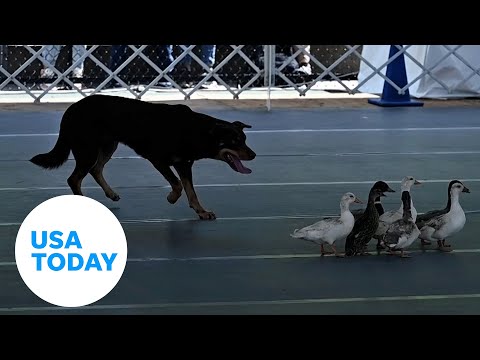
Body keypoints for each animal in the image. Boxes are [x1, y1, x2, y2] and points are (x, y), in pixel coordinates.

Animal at [30, 94, 256, 219]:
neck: (193, 130)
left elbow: (191, 191)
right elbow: (177, 185)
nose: (253, 154)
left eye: (244, 139)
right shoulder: (158, 160)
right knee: (74, 178)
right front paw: (172, 198)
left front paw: (201, 211)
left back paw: (111, 194)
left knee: (96, 169)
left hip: (108, 146)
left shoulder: (184, 164)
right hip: (88, 150)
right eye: (234, 141)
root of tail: (71, 109)